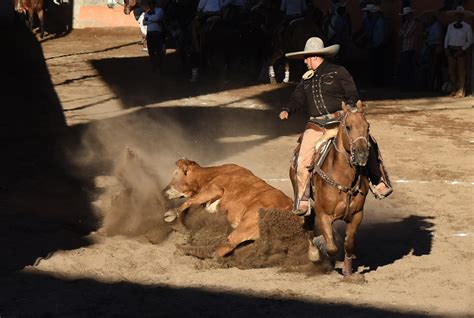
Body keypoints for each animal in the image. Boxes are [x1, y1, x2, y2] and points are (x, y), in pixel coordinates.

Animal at [292, 101, 370, 276]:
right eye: (348, 127)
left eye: (368, 127)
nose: (362, 154)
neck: (344, 178)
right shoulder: (324, 214)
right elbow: (331, 247)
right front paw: (321, 252)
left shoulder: (357, 214)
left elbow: (348, 244)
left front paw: (347, 270)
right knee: (306, 221)